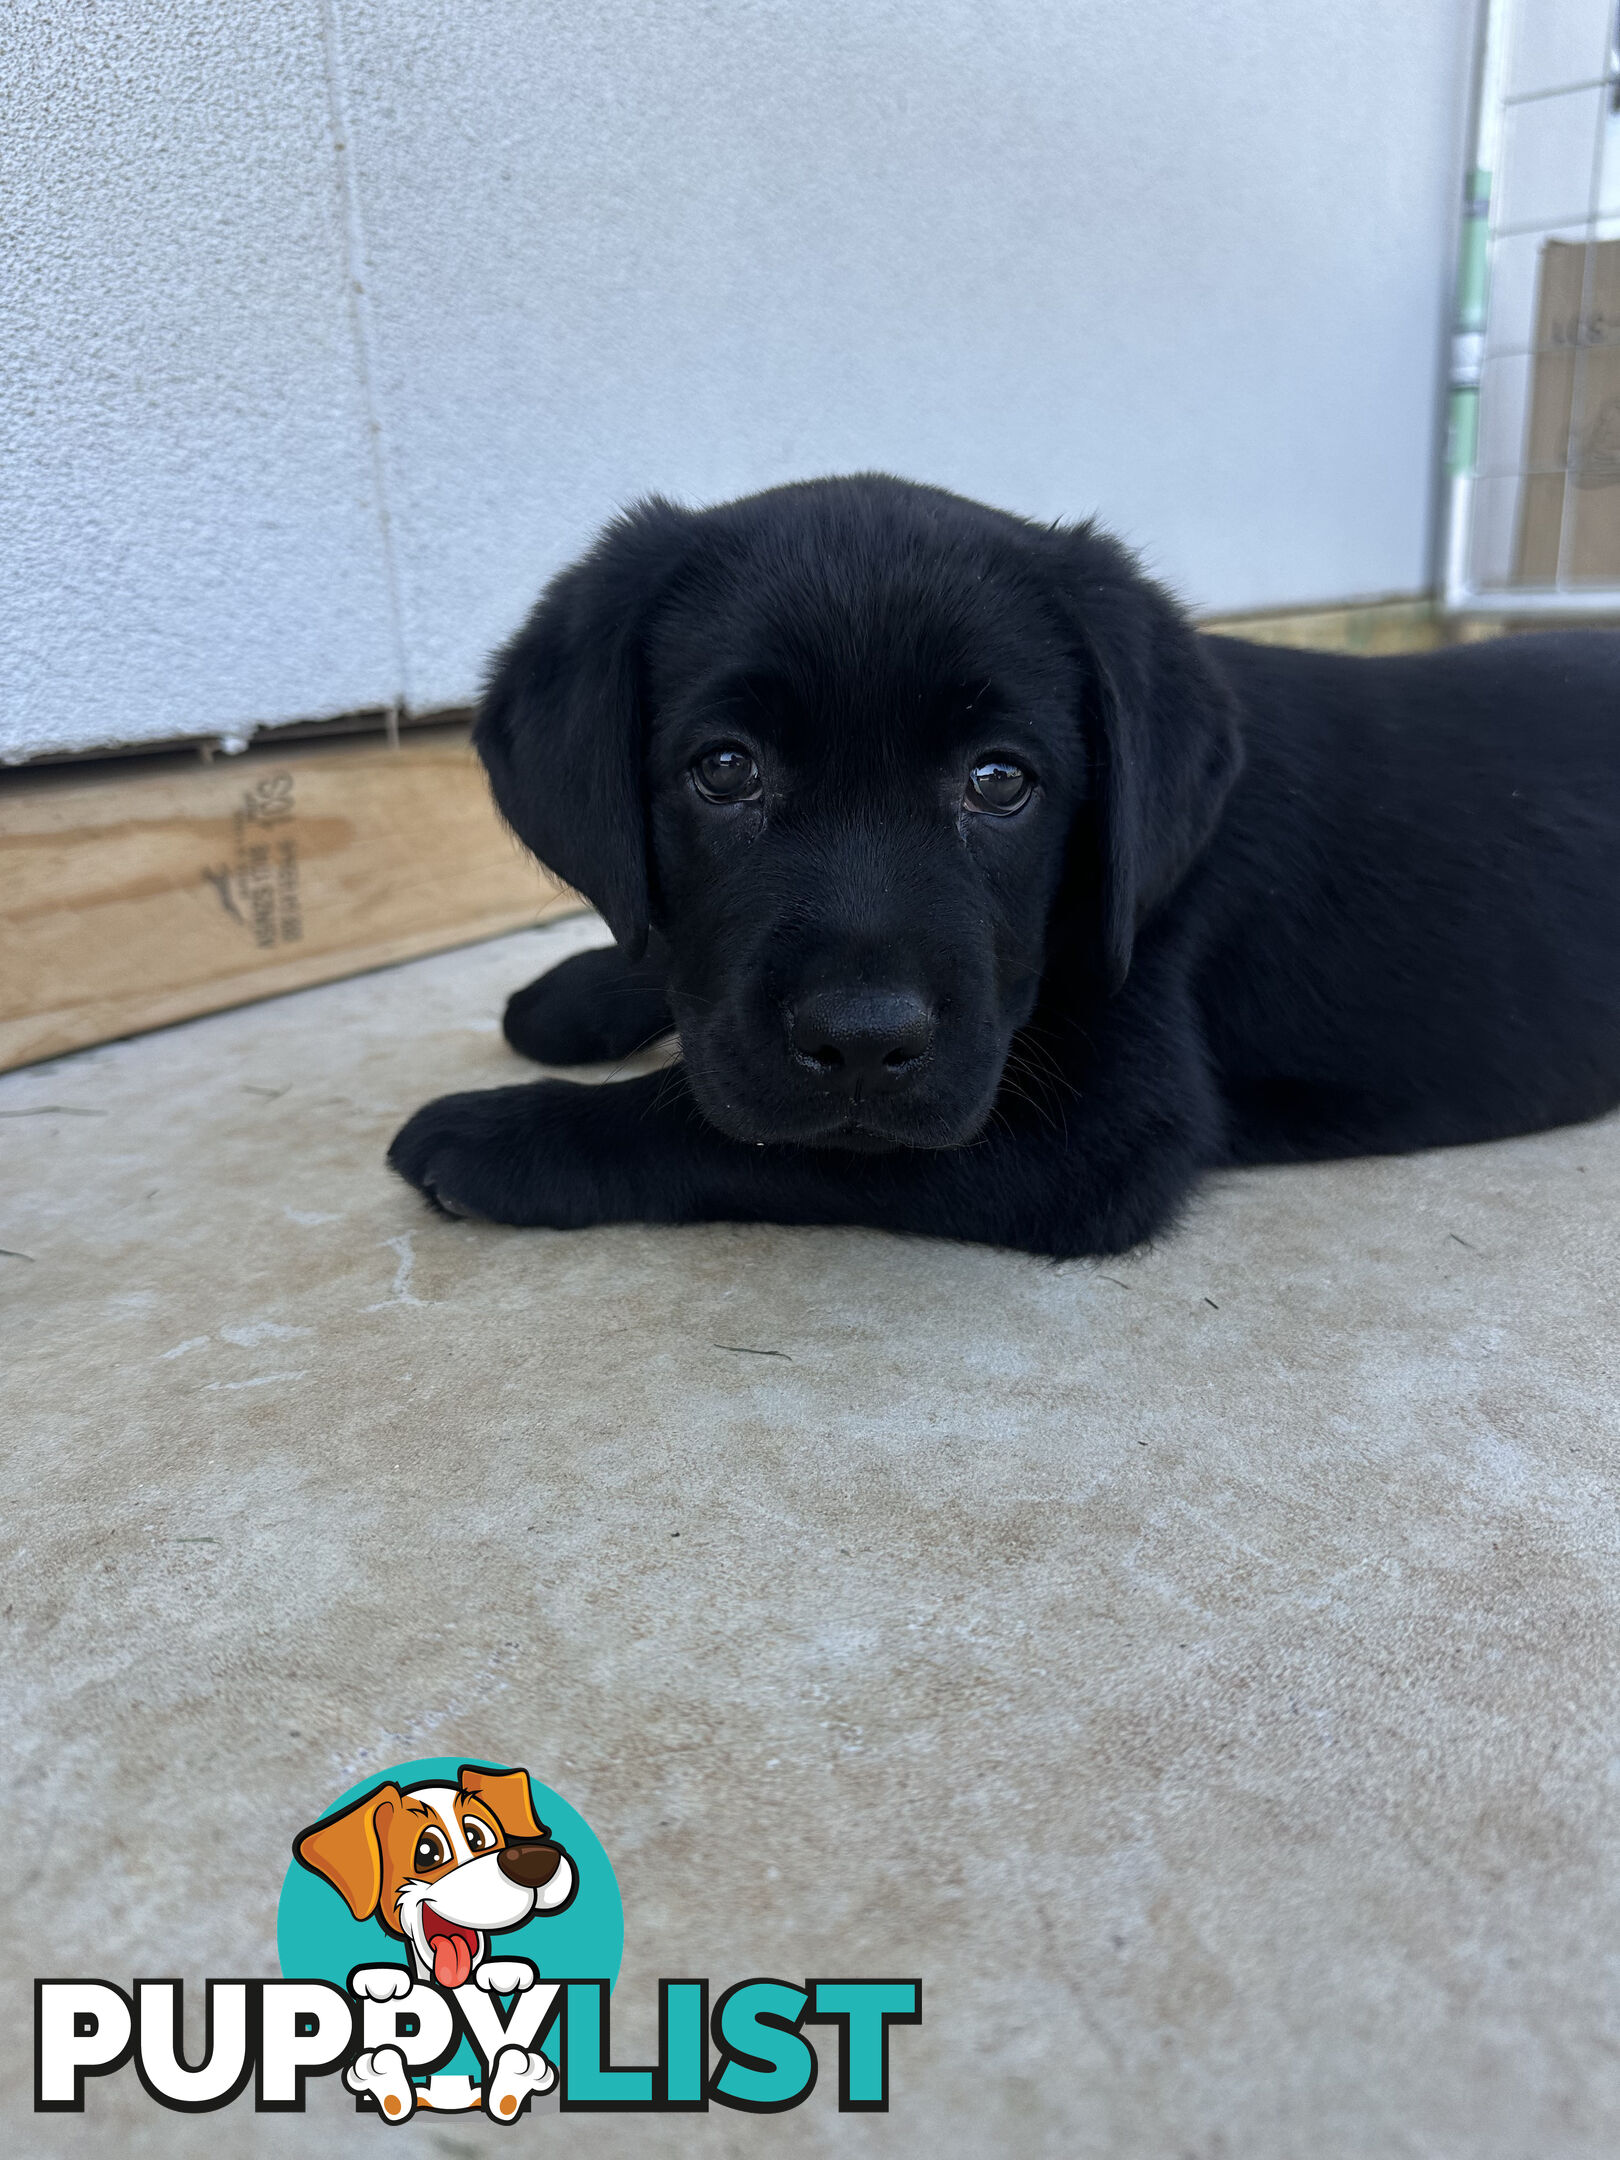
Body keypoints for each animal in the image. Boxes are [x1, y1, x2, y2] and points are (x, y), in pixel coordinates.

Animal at [393, 464, 1620, 1261]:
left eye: (999, 782)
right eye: (726, 769)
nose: (862, 1042)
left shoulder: (1095, 1130)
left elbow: (732, 1126)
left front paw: (500, 1134)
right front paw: (575, 992)